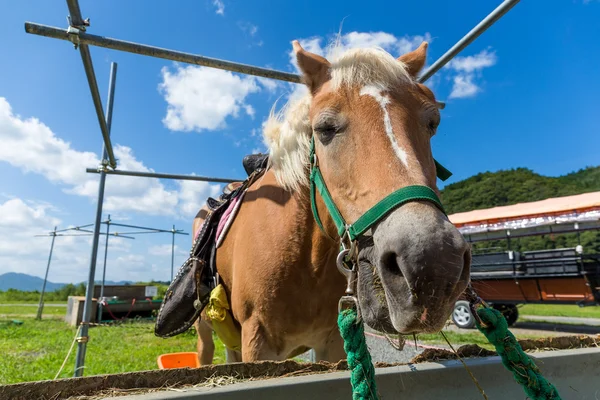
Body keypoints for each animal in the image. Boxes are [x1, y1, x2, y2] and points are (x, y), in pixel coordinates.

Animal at [188, 39, 468, 362]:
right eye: (324, 129)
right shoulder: (257, 342)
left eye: (432, 123)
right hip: (204, 332)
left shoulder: (332, 343)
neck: (304, 259)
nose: (433, 264)